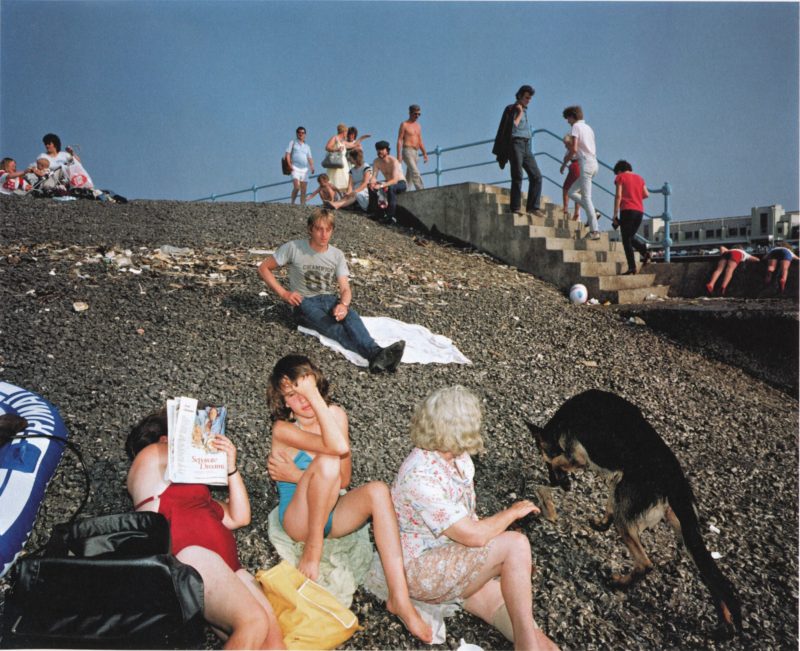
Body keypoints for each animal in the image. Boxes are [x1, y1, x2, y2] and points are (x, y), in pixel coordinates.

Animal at [524, 390, 744, 640]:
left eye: (545, 463)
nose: (555, 484)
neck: (563, 420)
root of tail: (674, 480)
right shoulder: (616, 477)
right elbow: (608, 499)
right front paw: (600, 520)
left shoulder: (578, 457)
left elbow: (562, 460)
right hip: (686, 534)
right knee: (712, 579)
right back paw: (725, 624)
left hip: (633, 518)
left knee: (646, 563)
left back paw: (620, 582)